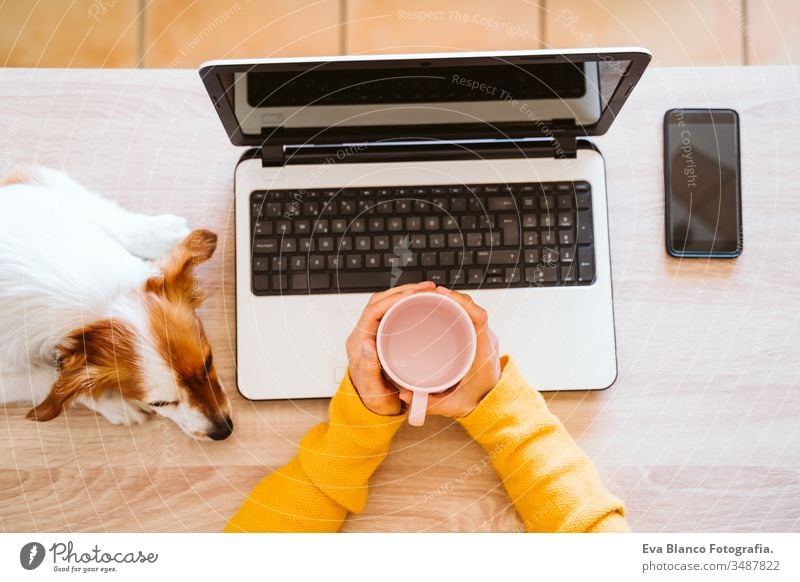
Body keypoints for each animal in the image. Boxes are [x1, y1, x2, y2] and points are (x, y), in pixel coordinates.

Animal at [0, 167, 231, 440]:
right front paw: (115, 402)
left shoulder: (38, 179)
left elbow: (99, 210)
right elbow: (49, 379)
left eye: (208, 362)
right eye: (160, 403)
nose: (224, 430)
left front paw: (160, 232)